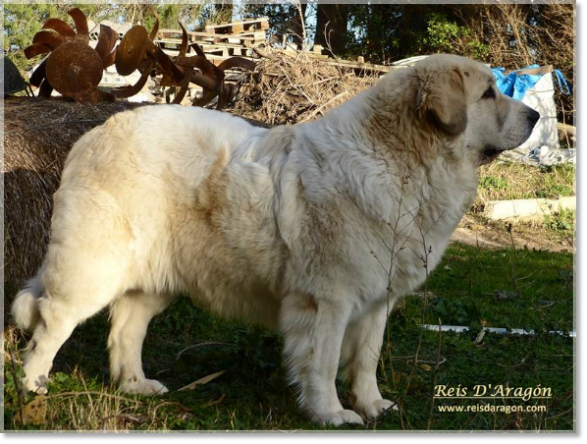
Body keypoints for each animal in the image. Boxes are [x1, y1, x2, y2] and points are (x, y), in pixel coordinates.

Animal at [11, 53, 540, 424]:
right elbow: (323, 362)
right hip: (93, 268)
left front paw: (372, 406)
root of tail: (95, 134)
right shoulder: (328, 300)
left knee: (126, 329)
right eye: (488, 94)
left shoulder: (375, 300)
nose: (535, 117)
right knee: (52, 318)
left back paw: (136, 385)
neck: (402, 160)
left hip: (156, 277)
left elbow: (366, 360)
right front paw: (331, 414)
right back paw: (34, 383)